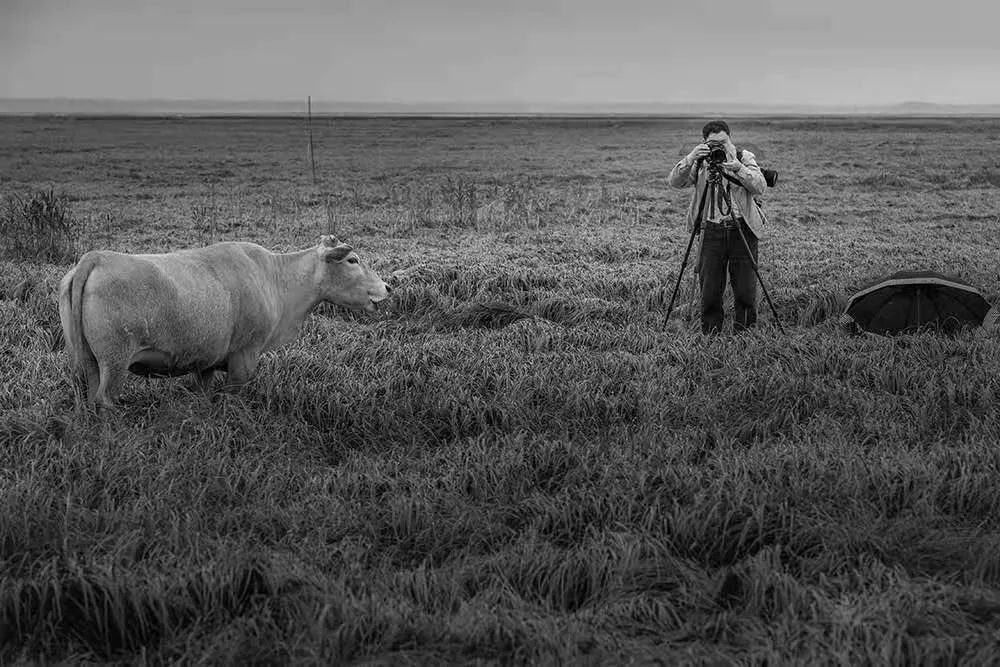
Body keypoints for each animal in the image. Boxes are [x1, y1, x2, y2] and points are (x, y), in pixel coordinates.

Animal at [54, 235, 390, 412]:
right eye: (353, 261)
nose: (387, 287)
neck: (275, 277)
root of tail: (96, 258)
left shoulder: (206, 361)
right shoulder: (244, 358)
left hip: (88, 363)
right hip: (115, 362)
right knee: (105, 400)